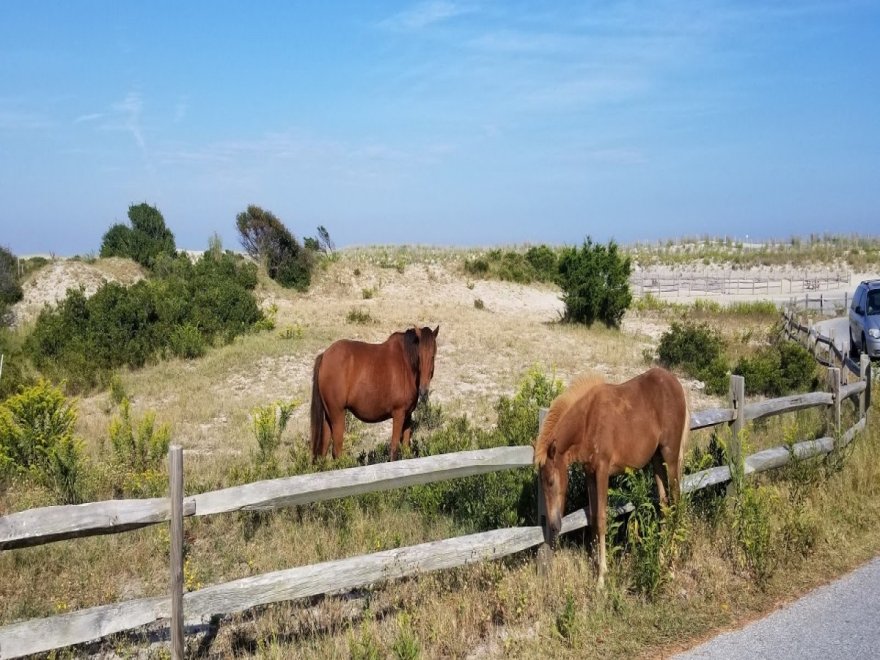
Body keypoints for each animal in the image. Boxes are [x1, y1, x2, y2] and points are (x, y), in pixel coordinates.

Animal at [310, 324, 440, 458]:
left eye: (433, 356)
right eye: (419, 356)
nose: (423, 390)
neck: (406, 363)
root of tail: (324, 356)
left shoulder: (407, 416)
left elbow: (405, 448)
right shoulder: (398, 414)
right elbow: (394, 449)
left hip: (329, 416)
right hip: (338, 415)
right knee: (337, 451)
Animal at [532, 366, 692, 588]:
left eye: (551, 481)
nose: (554, 526)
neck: (588, 421)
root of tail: (676, 384)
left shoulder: (602, 471)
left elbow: (601, 519)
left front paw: (601, 577)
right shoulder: (590, 473)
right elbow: (592, 517)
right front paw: (594, 565)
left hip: (671, 456)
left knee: (676, 502)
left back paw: (671, 565)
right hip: (657, 460)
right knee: (664, 504)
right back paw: (660, 558)